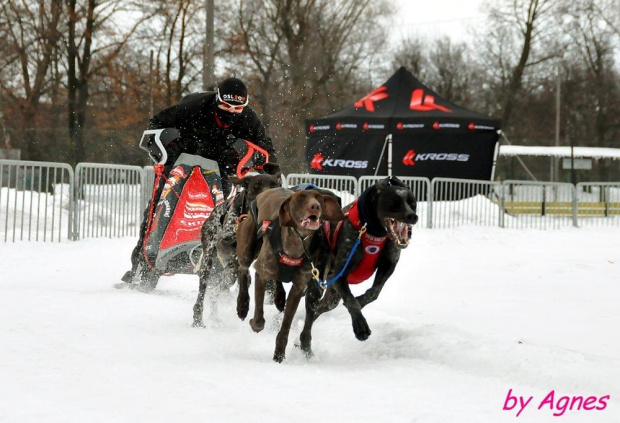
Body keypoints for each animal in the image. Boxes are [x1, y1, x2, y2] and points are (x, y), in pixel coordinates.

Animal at [193, 164, 282, 330]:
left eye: (274, 185)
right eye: (256, 186)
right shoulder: (224, 240)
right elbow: (238, 259)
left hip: (228, 276)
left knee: (215, 292)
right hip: (208, 262)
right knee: (202, 293)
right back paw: (197, 319)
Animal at [236, 187, 344, 362]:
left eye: (319, 198)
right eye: (301, 197)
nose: (315, 206)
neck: (296, 242)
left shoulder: (299, 287)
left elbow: (286, 324)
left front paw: (279, 354)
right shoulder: (262, 273)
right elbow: (259, 317)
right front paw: (255, 323)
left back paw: (279, 297)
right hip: (247, 248)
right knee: (243, 270)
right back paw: (242, 305)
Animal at [300, 176, 416, 358]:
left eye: (412, 203)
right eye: (394, 203)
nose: (413, 216)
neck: (373, 231)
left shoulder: (388, 266)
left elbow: (373, 293)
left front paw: (361, 301)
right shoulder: (341, 274)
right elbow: (352, 302)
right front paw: (360, 326)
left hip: (332, 297)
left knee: (319, 309)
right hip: (317, 286)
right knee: (310, 317)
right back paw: (305, 344)